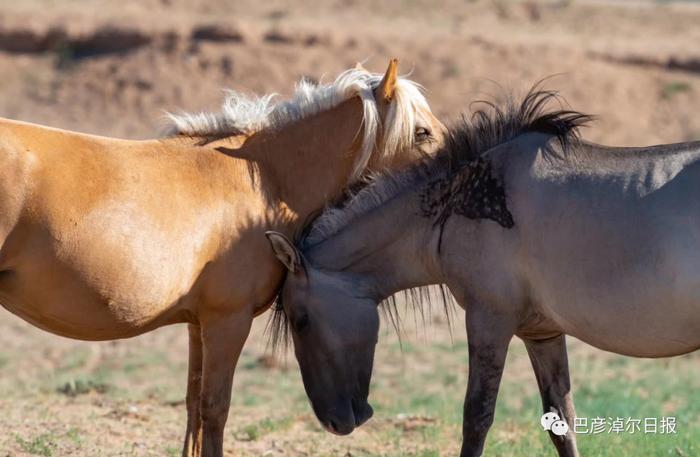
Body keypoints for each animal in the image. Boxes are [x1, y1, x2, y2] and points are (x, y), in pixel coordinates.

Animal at [0, 60, 448, 456]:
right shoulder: (227, 321)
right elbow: (215, 410)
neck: (266, 178)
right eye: (422, 132)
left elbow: (193, 407)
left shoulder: (198, 323)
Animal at [264, 87, 700, 454]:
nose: (334, 422)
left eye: (301, 321)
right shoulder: (542, 334)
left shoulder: (488, 321)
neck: (453, 207)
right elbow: (561, 420)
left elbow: (477, 417)